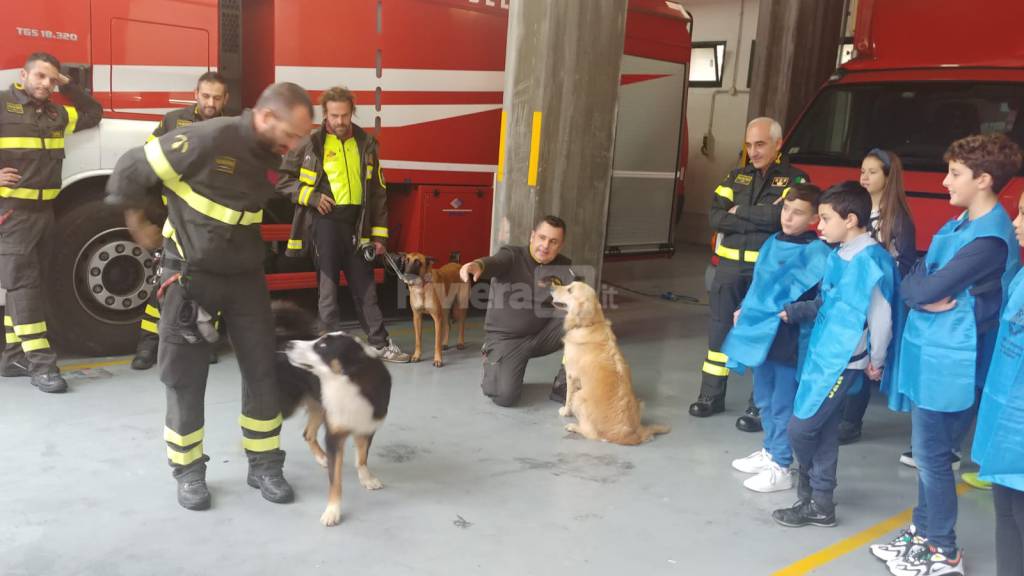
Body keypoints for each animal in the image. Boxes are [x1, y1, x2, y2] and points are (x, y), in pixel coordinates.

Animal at [552, 280, 671, 444]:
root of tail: (633, 434)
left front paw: (565, 411)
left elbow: (568, 397)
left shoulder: (571, 375)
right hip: (640, 403)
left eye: (570, 290)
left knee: (592, 434)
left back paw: (574, 427)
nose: (551, 287)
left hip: (580, 397)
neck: (590, 325)